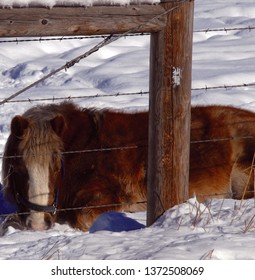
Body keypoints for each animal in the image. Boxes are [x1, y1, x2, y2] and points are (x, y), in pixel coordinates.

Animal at [1, 101, 255, 231]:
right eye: (18, 167)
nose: (37, 223)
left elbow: (83, 218)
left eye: (56, 165)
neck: (83, 150)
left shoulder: (105, 198)